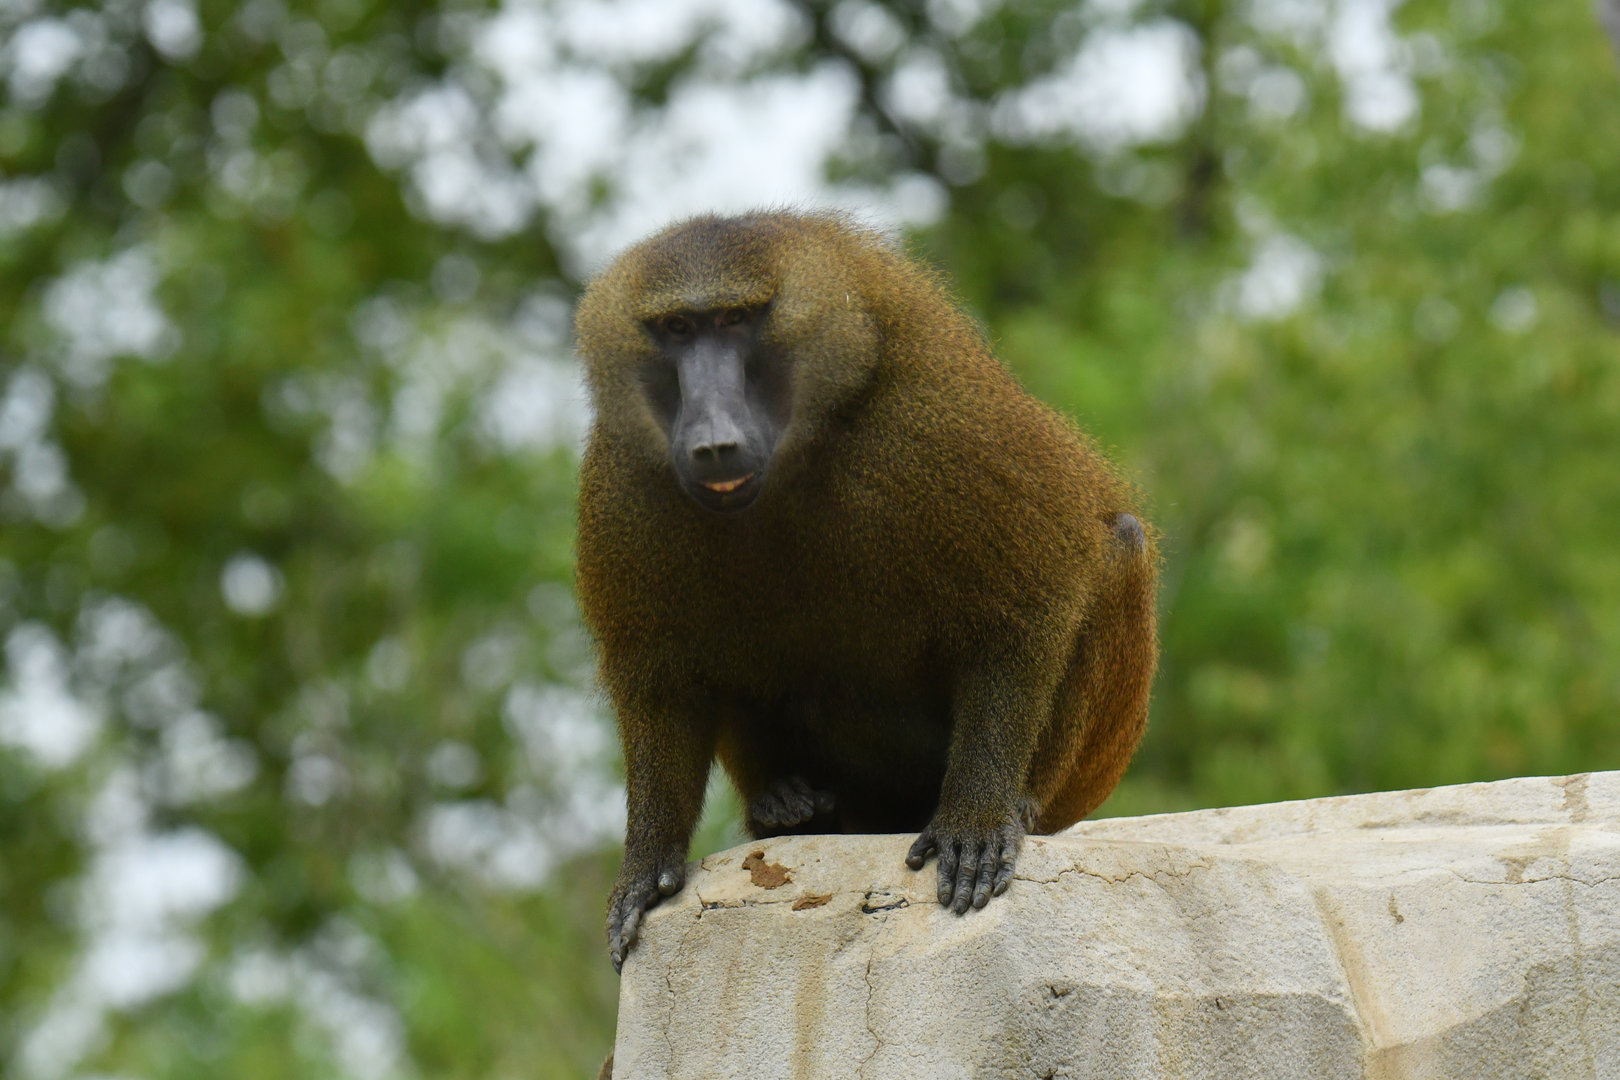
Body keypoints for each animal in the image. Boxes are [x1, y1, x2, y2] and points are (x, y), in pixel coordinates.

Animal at [573, 211, 1158, 971]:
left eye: (735, 320)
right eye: (676, 328)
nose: (712, 442)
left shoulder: (934, 426)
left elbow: (1030, 599)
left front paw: (977, 817)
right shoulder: (625, 479)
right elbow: (660, 677)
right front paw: (649, 864)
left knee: (1120, 546)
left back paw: (1021, 803)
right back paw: (789, 804)